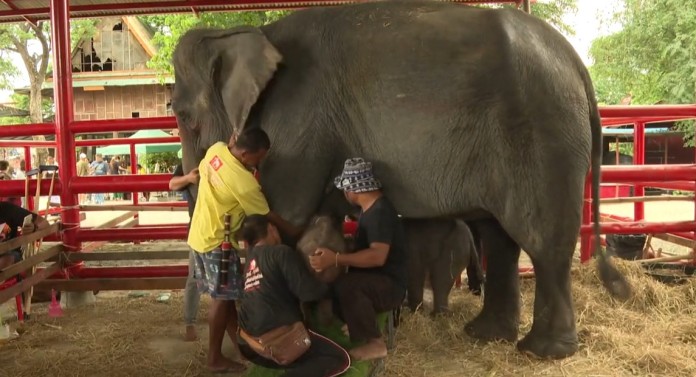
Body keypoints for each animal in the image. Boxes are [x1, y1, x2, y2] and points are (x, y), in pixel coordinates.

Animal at [173, 0, 632, 358]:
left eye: (181, 115)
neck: (245, 33)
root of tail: (576, 63)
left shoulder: (298, 119)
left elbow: (286, 208)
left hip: (545, 133)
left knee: (541, 239)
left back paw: (543, 352)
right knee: (499, 237)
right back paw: (487, 336)